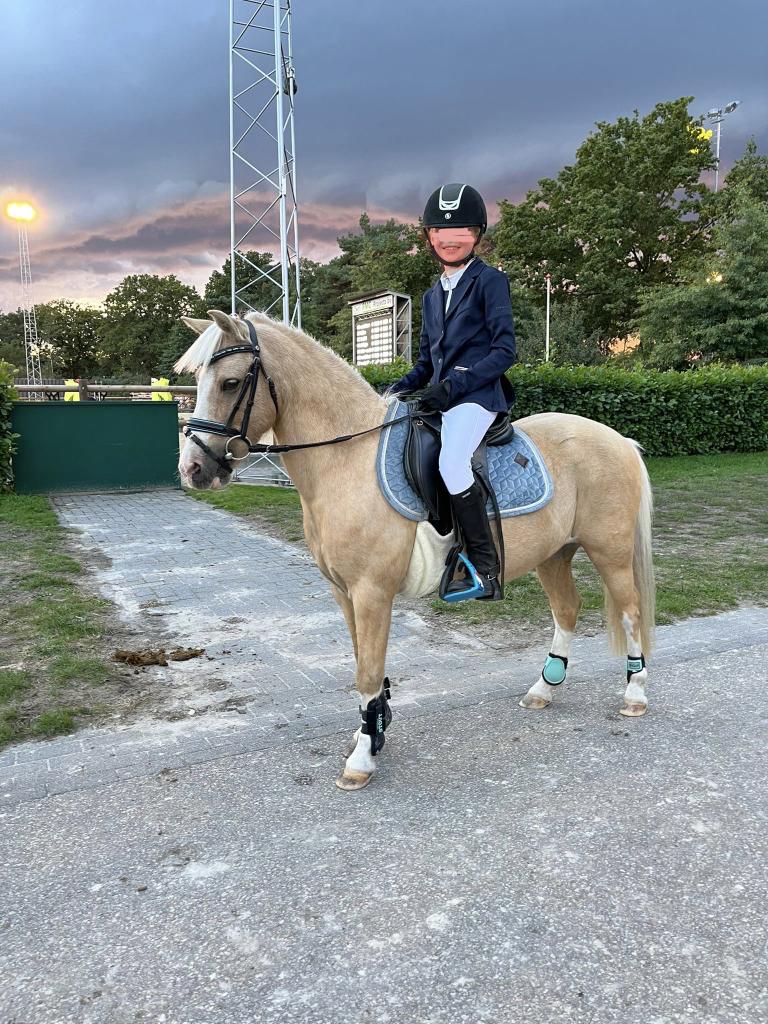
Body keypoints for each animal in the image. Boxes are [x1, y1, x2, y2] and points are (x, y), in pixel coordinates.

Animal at [176, 309, 655, 791]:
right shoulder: (343, 592)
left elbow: (368, 670)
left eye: (230, 383)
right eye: (198, 380)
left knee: (630, 611)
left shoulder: (371, 592)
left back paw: (634, 694)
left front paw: (362, 759)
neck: (347, 459)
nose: (193, 469)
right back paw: (543, 689)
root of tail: (620, 440)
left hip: (609, 551)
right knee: (567, 609)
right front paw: (370, 731)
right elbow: (363, 664)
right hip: (555, 553)